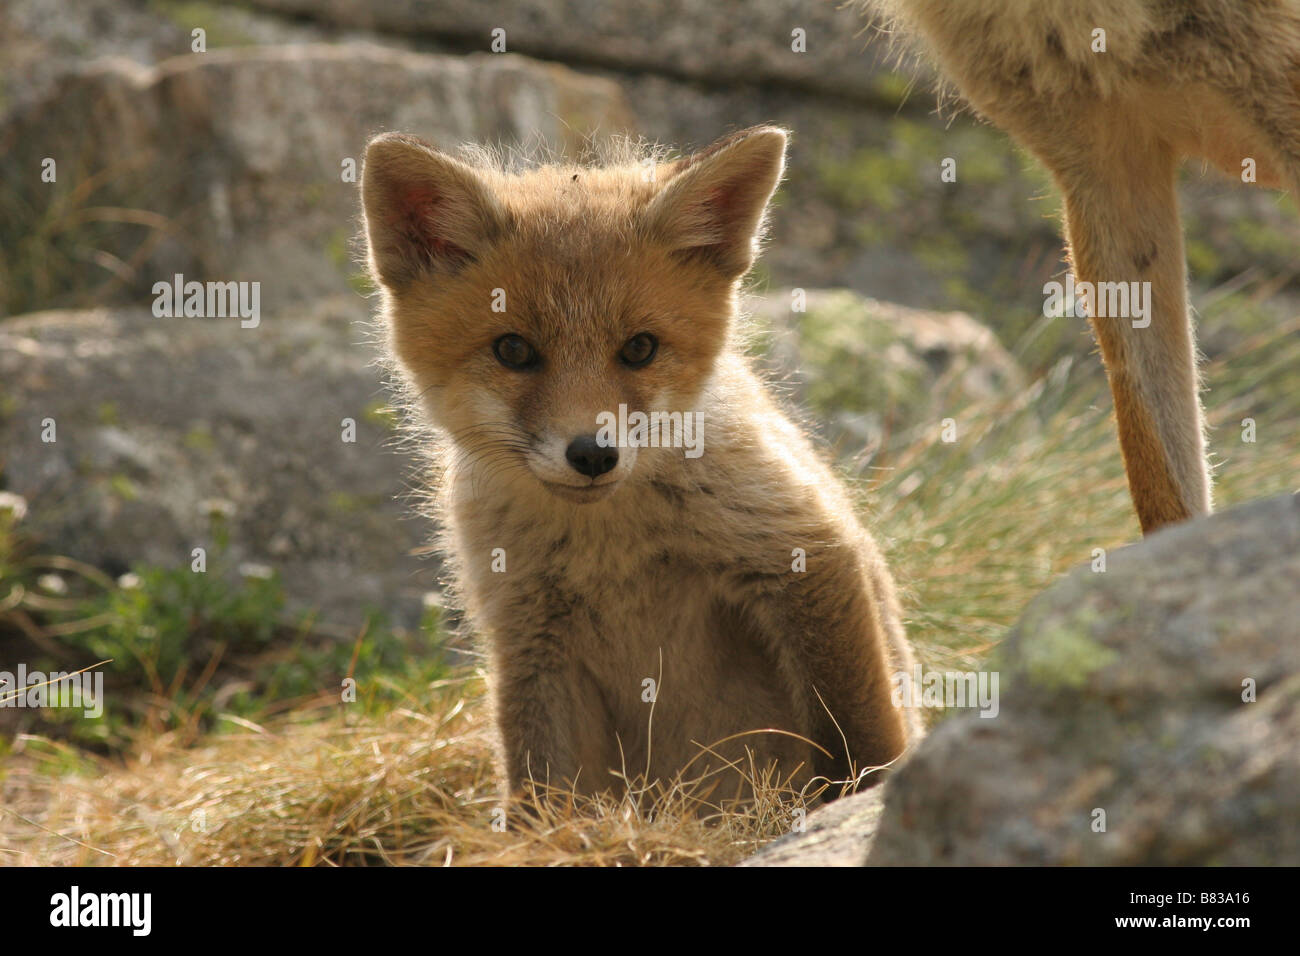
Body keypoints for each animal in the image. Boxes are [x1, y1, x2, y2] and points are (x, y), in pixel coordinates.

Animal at [361, 125, 920, 801]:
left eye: (640, 348)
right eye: (513, 350)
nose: (592, 454)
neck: (611, 548)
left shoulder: (806, 550)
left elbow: (857, 734)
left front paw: (868, 798)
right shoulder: (529, 636)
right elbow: (541, 792)